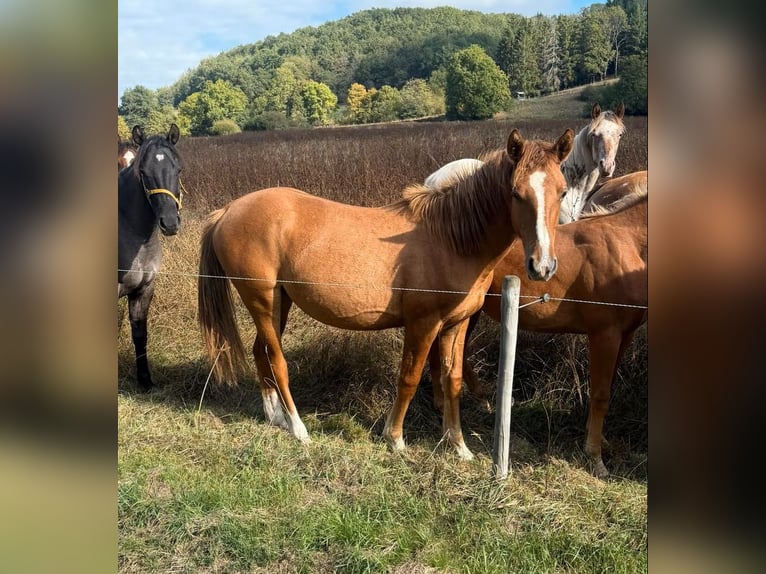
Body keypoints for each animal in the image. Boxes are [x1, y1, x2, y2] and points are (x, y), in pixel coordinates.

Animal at [197, 127, 574, 460]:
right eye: (515, 193)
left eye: (562, 191)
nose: (542, 265)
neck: (451, 239)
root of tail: (228, 211)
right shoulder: (423, 324)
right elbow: (409, 376)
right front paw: (394, 438)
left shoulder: (457, 324)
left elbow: (451, 380)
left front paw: (458, 445)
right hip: (261, 299)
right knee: (277, 360)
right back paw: (298, 428)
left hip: (279, 302)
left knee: (261, 353)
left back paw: (274, 418)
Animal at [428, 191, 647, 477]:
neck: (627, 244)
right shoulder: (605, 335)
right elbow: (600, 395)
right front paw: (595, 458)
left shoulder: (624, 335)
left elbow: (606, 389)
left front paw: (600, 441)